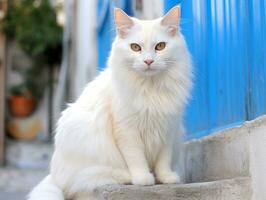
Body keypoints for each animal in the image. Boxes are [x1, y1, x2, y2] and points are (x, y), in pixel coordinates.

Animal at [28, 5, 192, 200]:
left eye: (160, 46)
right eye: (135, 47)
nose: (148, 61)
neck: (150, 89)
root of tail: (54, 175)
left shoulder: (168, 129)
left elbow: (163, 159)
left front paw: (166, 177)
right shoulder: (127, 130)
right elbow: (136, 158)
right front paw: (143, 179)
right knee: (93, 178)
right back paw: (128, 176)